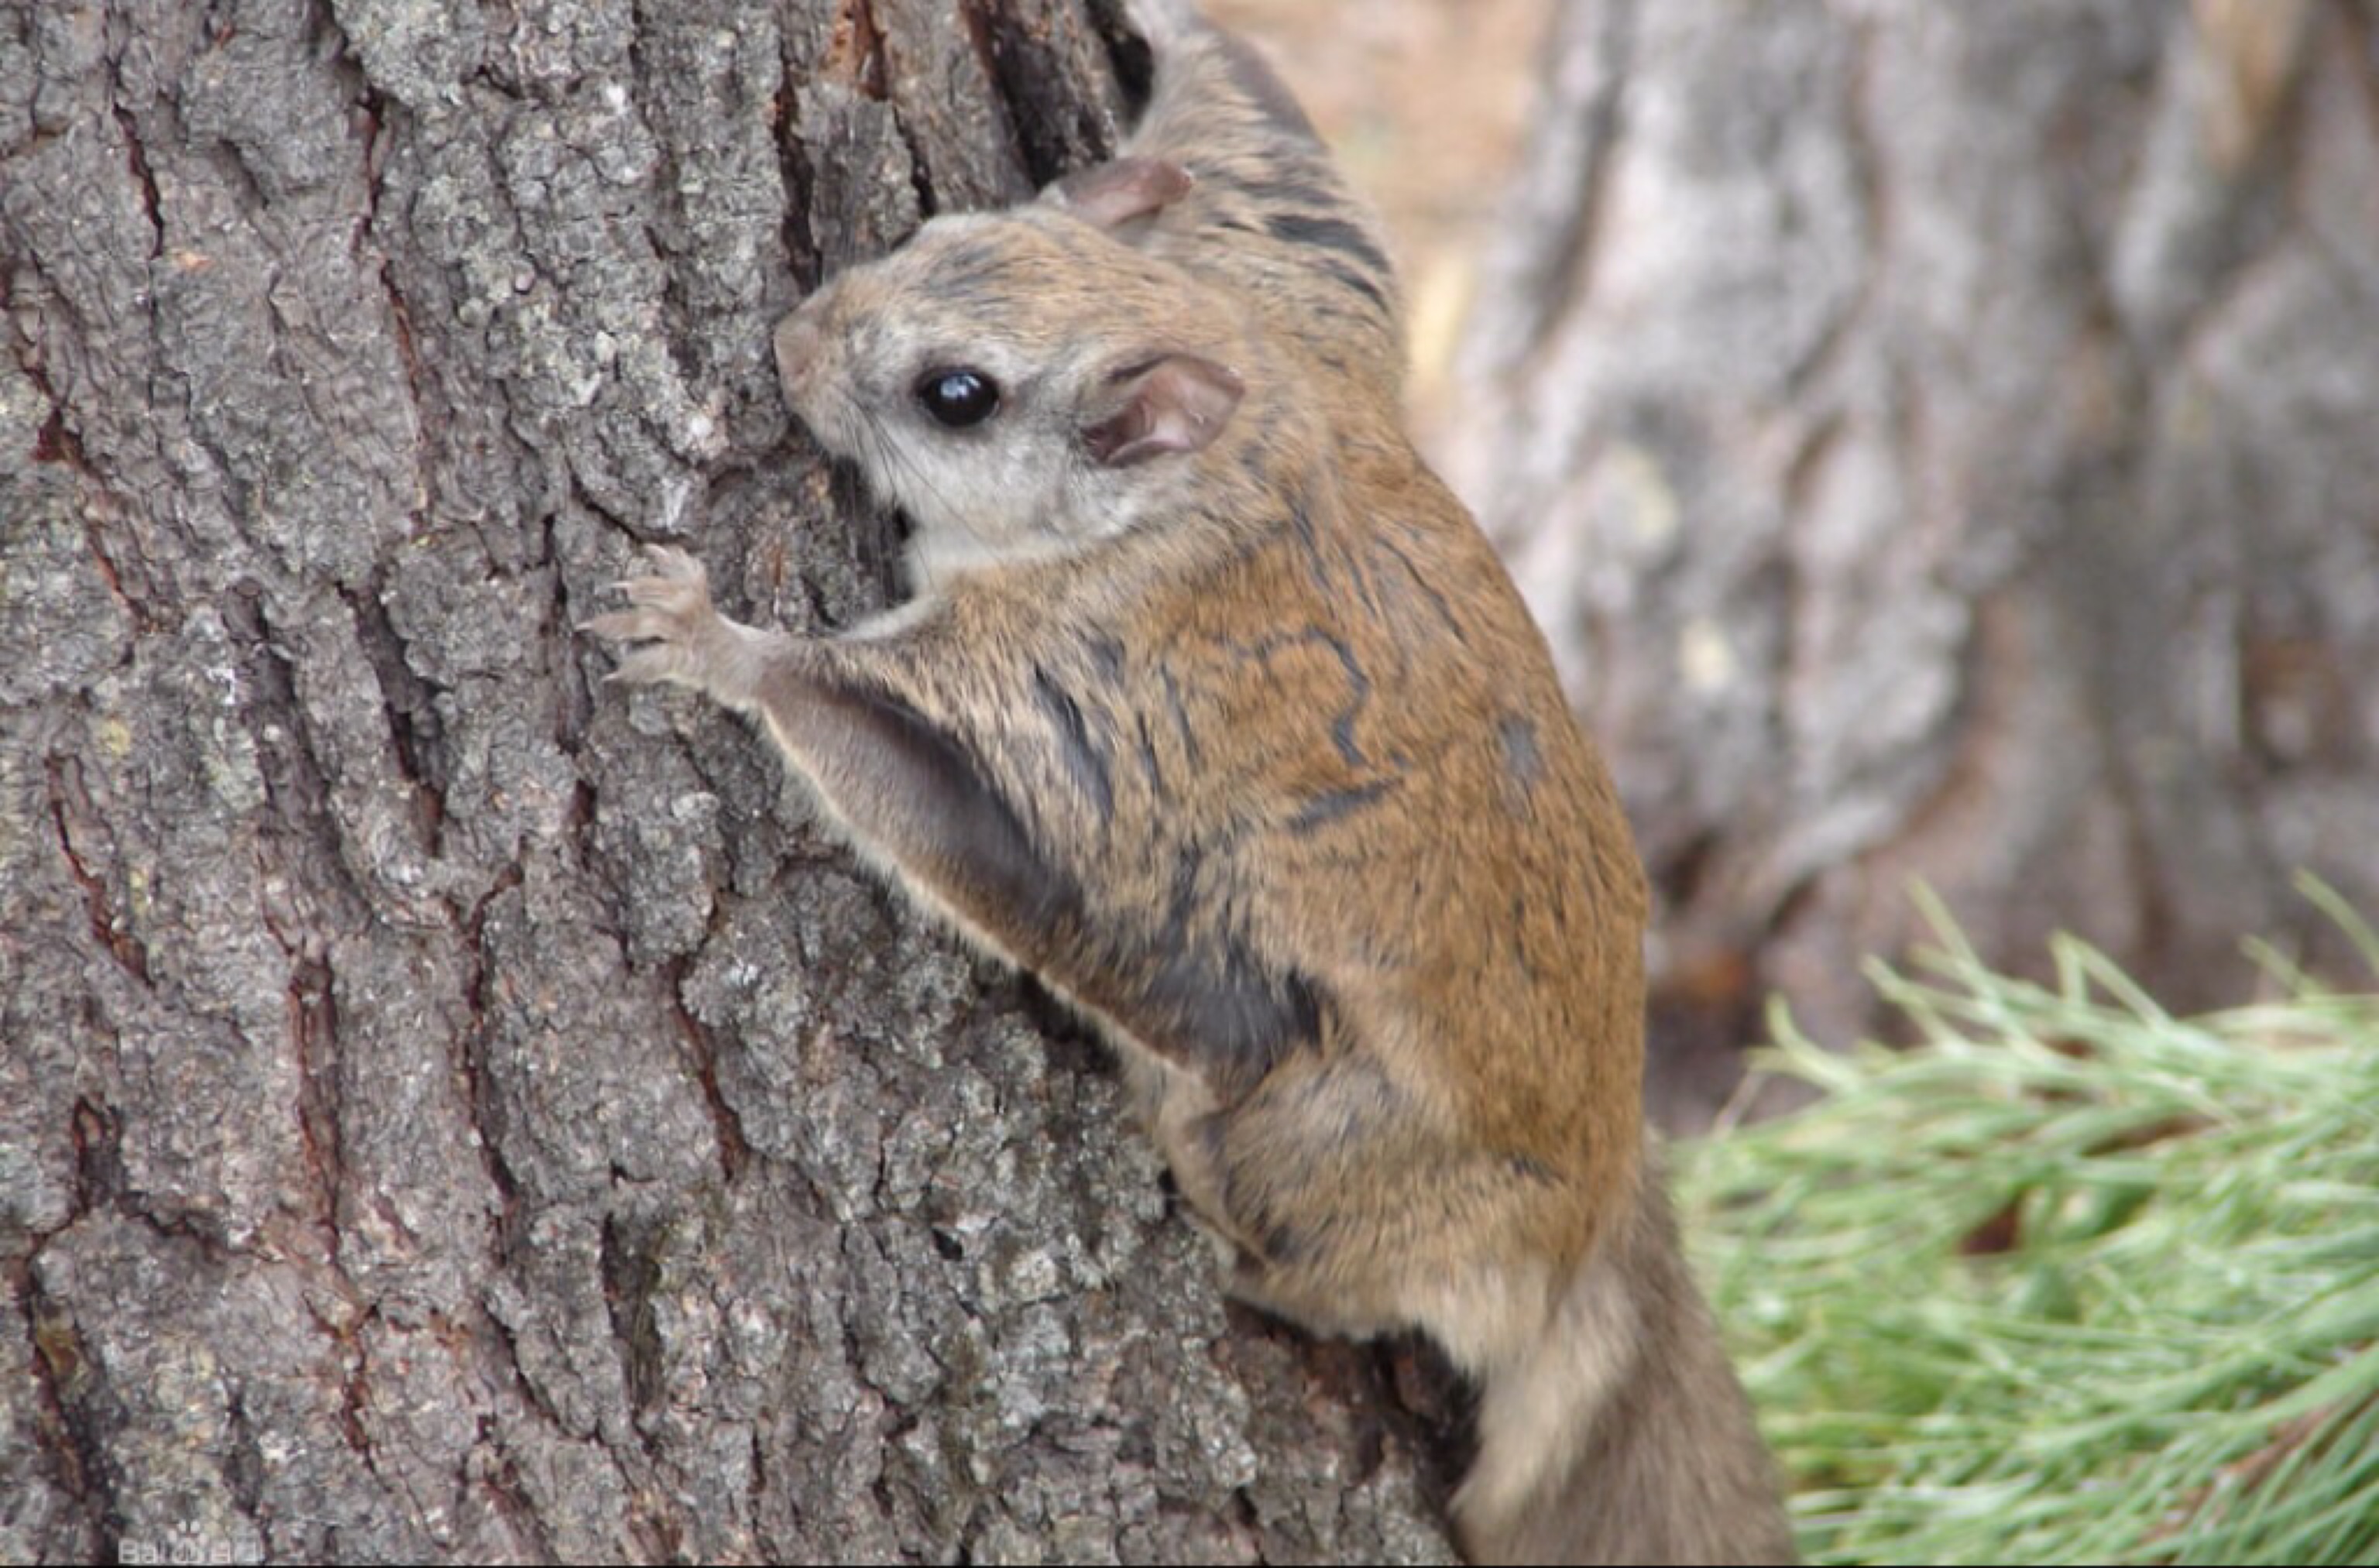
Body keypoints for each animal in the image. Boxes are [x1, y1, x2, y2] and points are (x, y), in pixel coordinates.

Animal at [589, 0, 1789, 1560]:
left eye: (956, 396)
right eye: (939, 226)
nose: (790, 340)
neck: (1215, 472)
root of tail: (1589, 1226)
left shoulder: (1075, 696)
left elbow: (910, 769)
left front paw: (711, 642)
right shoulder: (1301, 292)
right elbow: (1281, 159)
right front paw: (1180, 31)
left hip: (1309, 1136)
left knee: (1330, 1266)